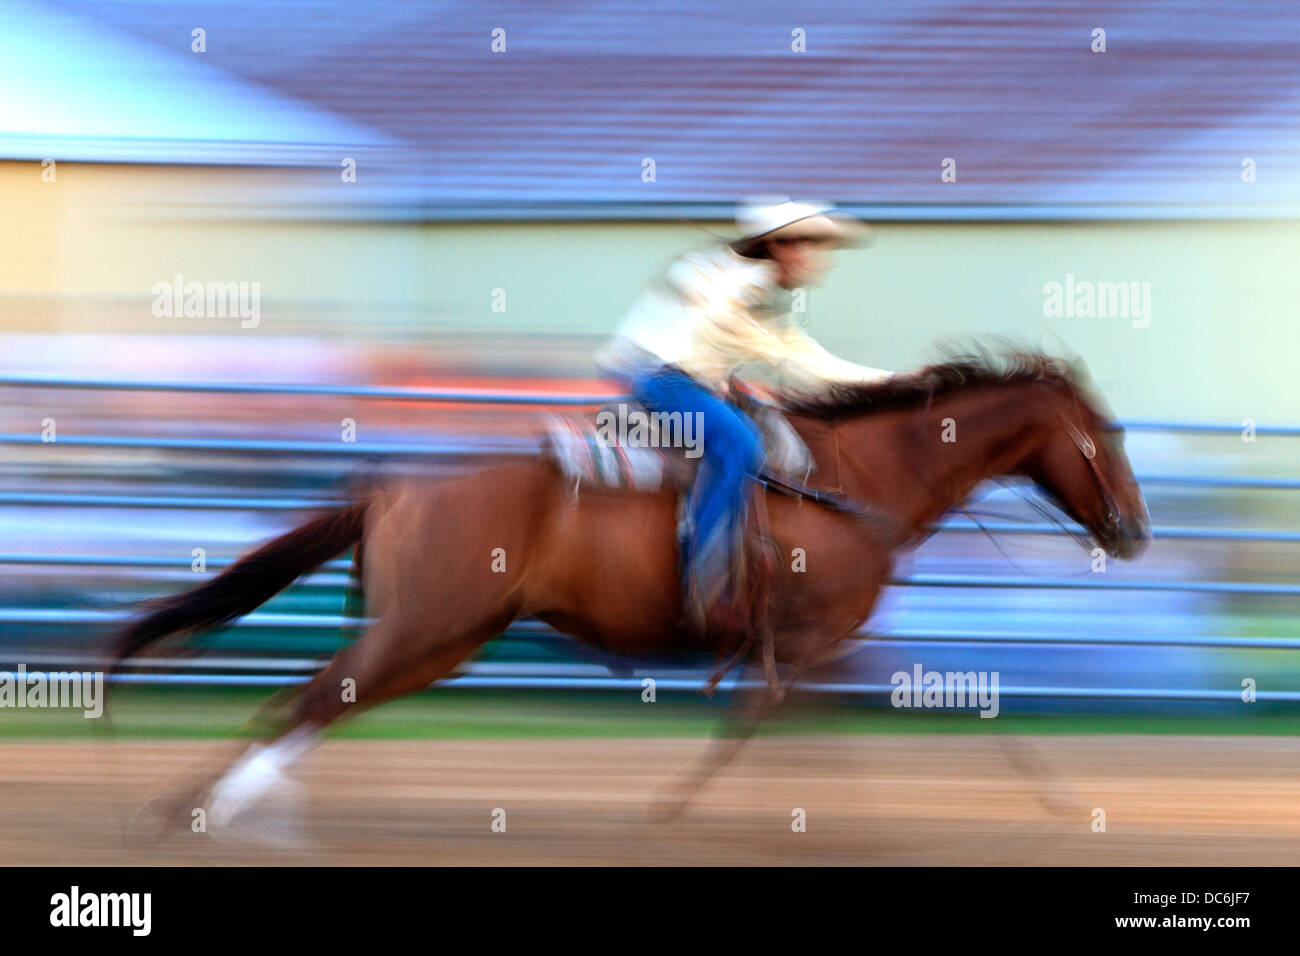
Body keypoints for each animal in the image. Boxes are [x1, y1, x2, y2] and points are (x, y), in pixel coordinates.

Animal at [111, 348, 1149, 827]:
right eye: (1105, 436)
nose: (1135, 531)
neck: (858, 477)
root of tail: (396, 484)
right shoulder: (815, 635)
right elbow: (771, 723)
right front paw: (670, 814)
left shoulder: (823, 641)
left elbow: (830, 720)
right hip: (430, 626)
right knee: (313, 700)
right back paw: (211, 812)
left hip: (437, 637)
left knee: (318, 703)